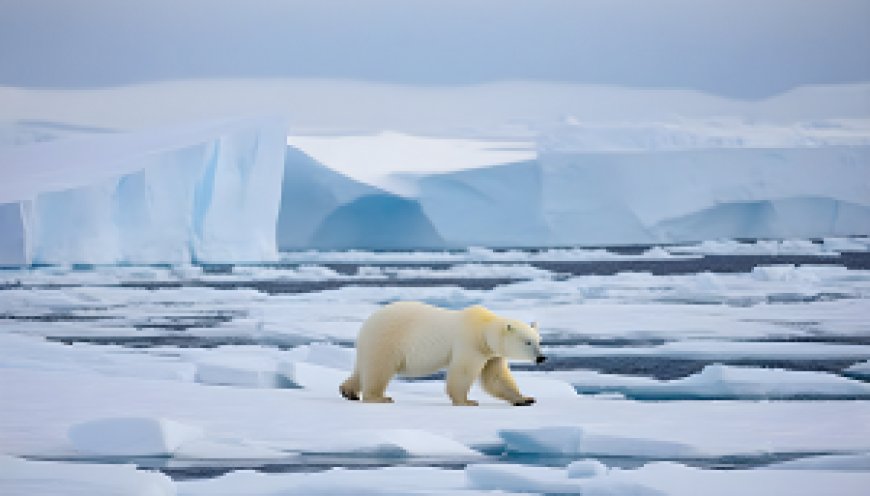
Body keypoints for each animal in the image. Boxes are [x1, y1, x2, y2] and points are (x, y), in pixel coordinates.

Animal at [338, 302, 544, 406]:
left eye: (539, 340)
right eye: (528, 342)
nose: (542, 358)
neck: (483, 328)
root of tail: (367, 323)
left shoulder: (492, 353)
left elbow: (496, 378)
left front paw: (525, 399)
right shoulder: (470, 343)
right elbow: (463, 372)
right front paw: (467, 401)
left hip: (371, 344)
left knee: (362, 369)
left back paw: (348, 392)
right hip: (387, 340)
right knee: (379, 369)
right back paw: (379, 397)